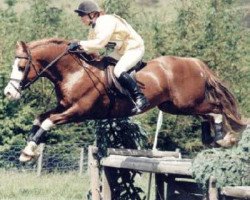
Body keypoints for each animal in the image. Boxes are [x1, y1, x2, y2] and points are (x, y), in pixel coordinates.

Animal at [3, 38, 246, 162]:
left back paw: (225, 138)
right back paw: (213, 138)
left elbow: (47, 121)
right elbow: (39, 119)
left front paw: (28, 152)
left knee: (216, 109)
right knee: (207, 113)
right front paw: (29, 149)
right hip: (175, 106)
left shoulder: (78, 111)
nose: (9, 93)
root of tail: (195, 62)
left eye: (22, 67)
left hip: (186, 102)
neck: (74, 72)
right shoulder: (63, 107)